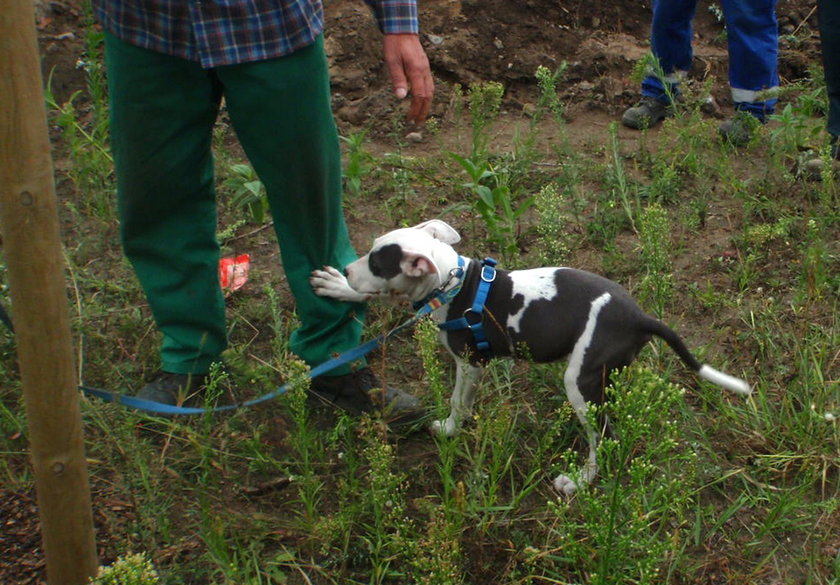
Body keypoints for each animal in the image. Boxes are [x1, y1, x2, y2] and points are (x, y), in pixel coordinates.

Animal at [312, 219, 752, 492]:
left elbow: (457, 401)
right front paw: (338, 287)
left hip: (580, 381)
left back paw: (579, 480)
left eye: (376, 262)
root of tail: (639, 317)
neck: (453, 282)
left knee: (604, 438)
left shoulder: (470, 364)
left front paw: (449, 429)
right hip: (606, 377)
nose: (348, 270)